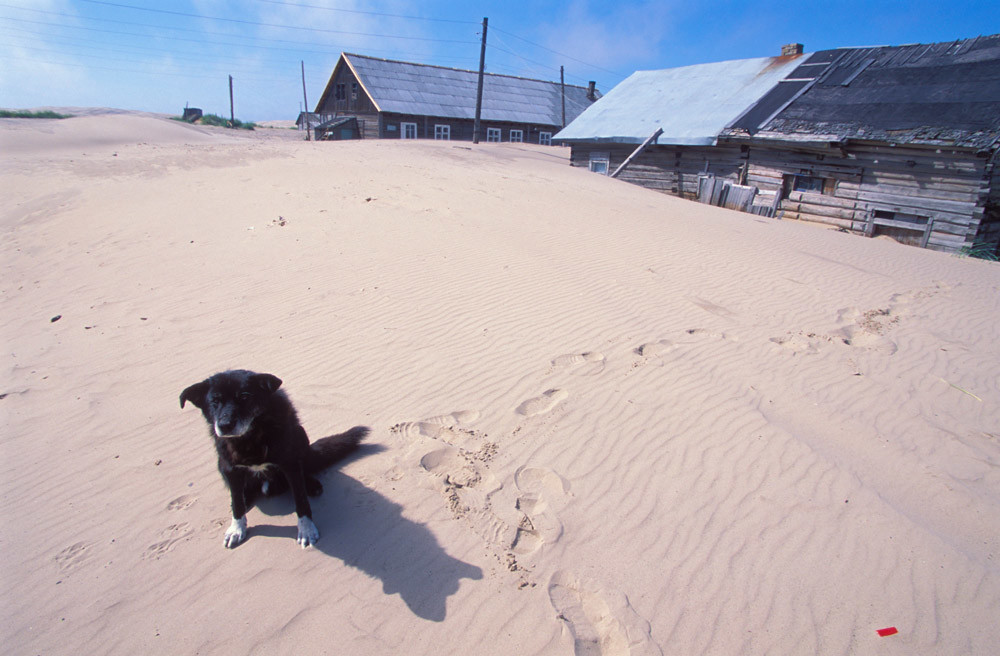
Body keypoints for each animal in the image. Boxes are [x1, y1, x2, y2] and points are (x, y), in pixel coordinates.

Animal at [180, 368, 368, 548]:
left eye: (244, 396)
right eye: (214, 401)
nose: (225, 426)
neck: (250, 438)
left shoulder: (290, 464)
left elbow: (301, 500)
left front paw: (306, 530)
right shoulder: (231, 468)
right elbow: (237, 503)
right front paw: (236, 528)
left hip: (300, 436)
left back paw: (311, 484)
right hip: (221, 463)